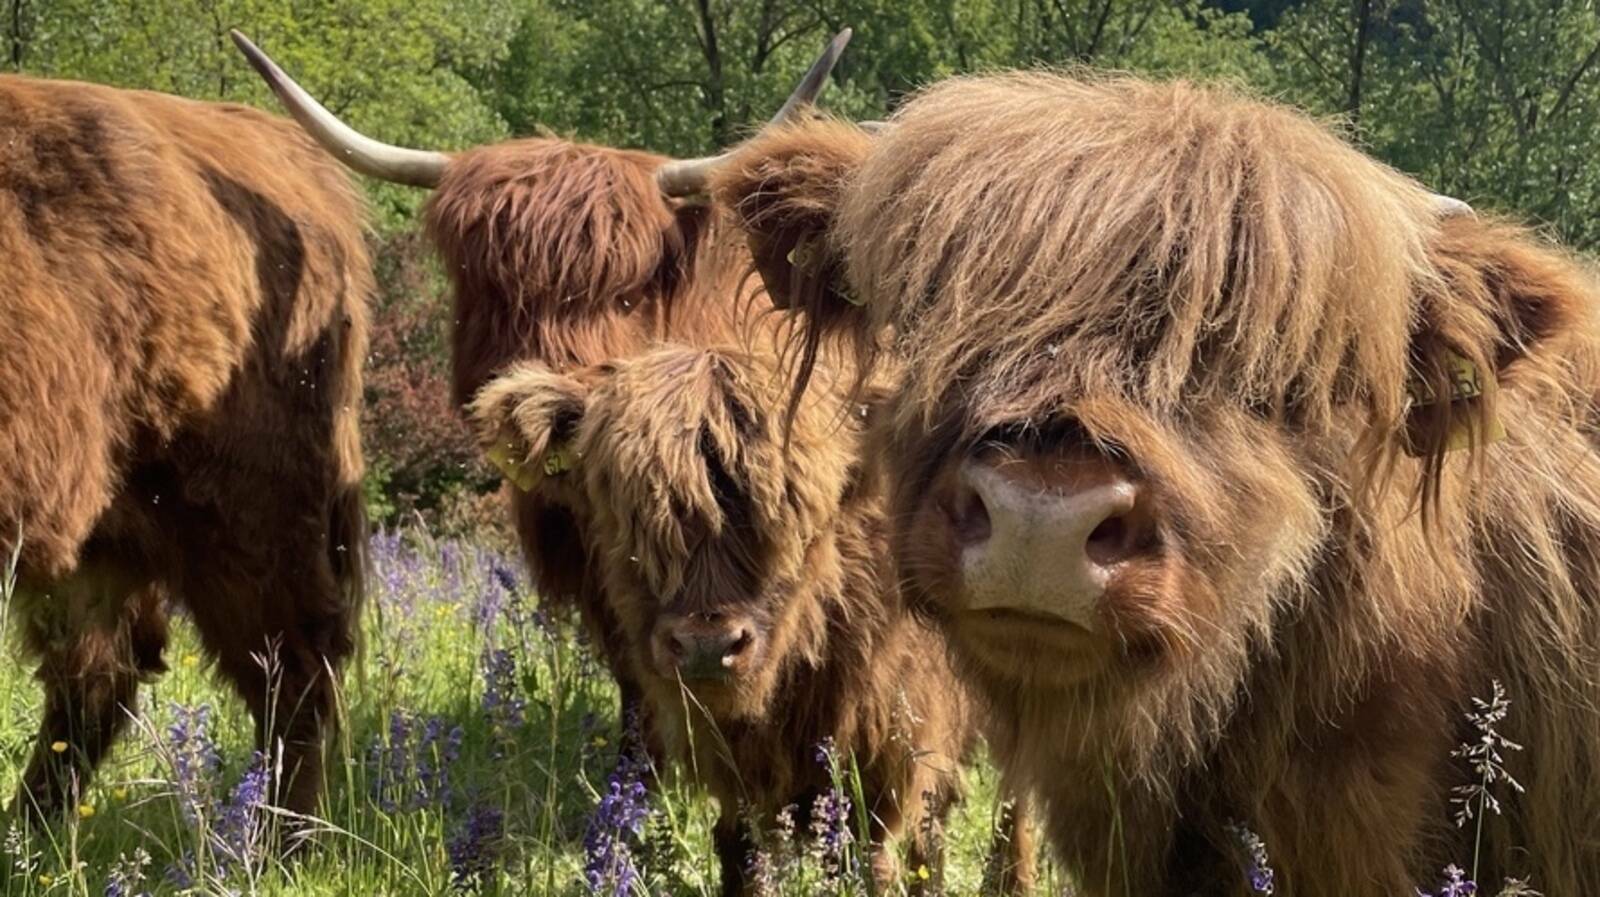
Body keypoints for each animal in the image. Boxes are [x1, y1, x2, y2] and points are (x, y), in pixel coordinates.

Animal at [469, 338, 1035, 895]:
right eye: (627, 512)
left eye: (792, 510)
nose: (707, 646)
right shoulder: (735, 776)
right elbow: (742, 856)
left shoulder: (885, 759)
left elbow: (869, 862)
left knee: (1014, 801)